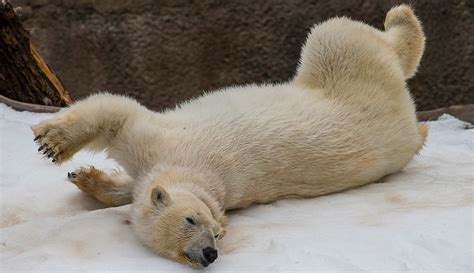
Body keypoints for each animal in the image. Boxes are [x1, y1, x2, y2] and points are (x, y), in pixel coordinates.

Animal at [32, 4, 426, 268]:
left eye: (212, 230)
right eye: (191, 224)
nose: (209, 254)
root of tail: (405, 118)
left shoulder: (165, 145)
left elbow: (120, 113)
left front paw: (55, 146)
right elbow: (125, 163)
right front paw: (79, 170)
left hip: (350, 75)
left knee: (343, 34)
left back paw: (400, 16)